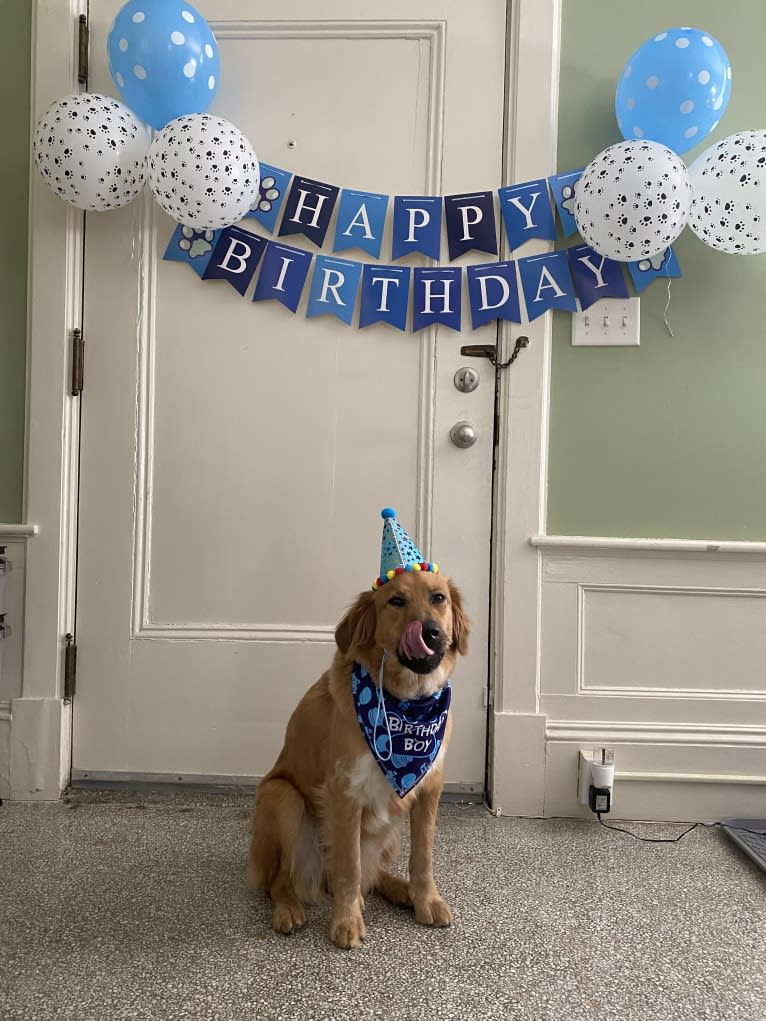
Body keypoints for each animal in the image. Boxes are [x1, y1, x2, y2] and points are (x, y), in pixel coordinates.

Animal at [249, 567, 471, 947]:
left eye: (438, 598)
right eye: (396, 600)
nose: (430, 631)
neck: (406, 704)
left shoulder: (429, 788)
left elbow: (422, 857)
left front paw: (425, 899)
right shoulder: (345, 792)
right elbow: (349, 867)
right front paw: (347, 919)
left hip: (390, 827)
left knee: (375, 871)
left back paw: (400, 889)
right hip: (282, 797)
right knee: (280, 880)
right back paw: (288, 908)